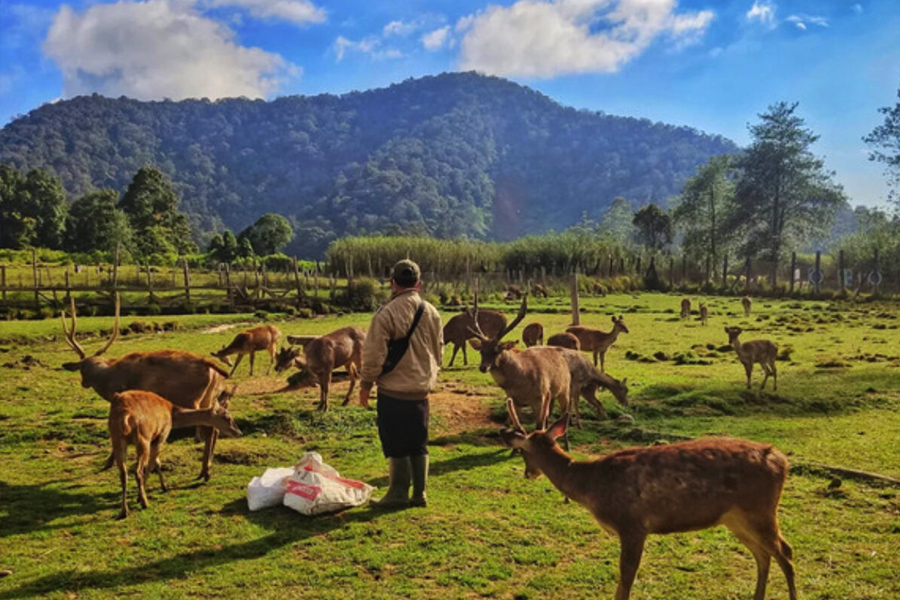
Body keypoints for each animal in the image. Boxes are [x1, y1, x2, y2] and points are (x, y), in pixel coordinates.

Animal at [61, 296, 230, 482]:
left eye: (82, 369)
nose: (83, 383)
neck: (109, 382)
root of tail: (211, 366)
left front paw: (108, 462)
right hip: (208, 397)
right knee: (214, 427)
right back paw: (206, 470)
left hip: (192, 399)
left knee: (208, 427)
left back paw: (205, 472)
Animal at [108, 392, 243, 516]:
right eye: (227, 417)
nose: (239, 432)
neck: (172, 415)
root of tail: (125, 415)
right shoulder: (162, 434)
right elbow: (153, 463)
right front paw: (139, 497)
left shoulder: (156, 437)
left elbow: (157, 461)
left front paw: (163, 487)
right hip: (143, 438)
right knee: (138, 470)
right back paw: (145, 502)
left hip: (116, 438)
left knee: (123, 473)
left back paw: (124, 510)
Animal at [502, 398, 800, 600]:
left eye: (523, 452)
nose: (529, 473)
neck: (591, 487)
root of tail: (782, 461)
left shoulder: (632, 524)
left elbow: (626, 578)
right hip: (736, 518)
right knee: (764, 554)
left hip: (759, 510)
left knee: (785, 552)